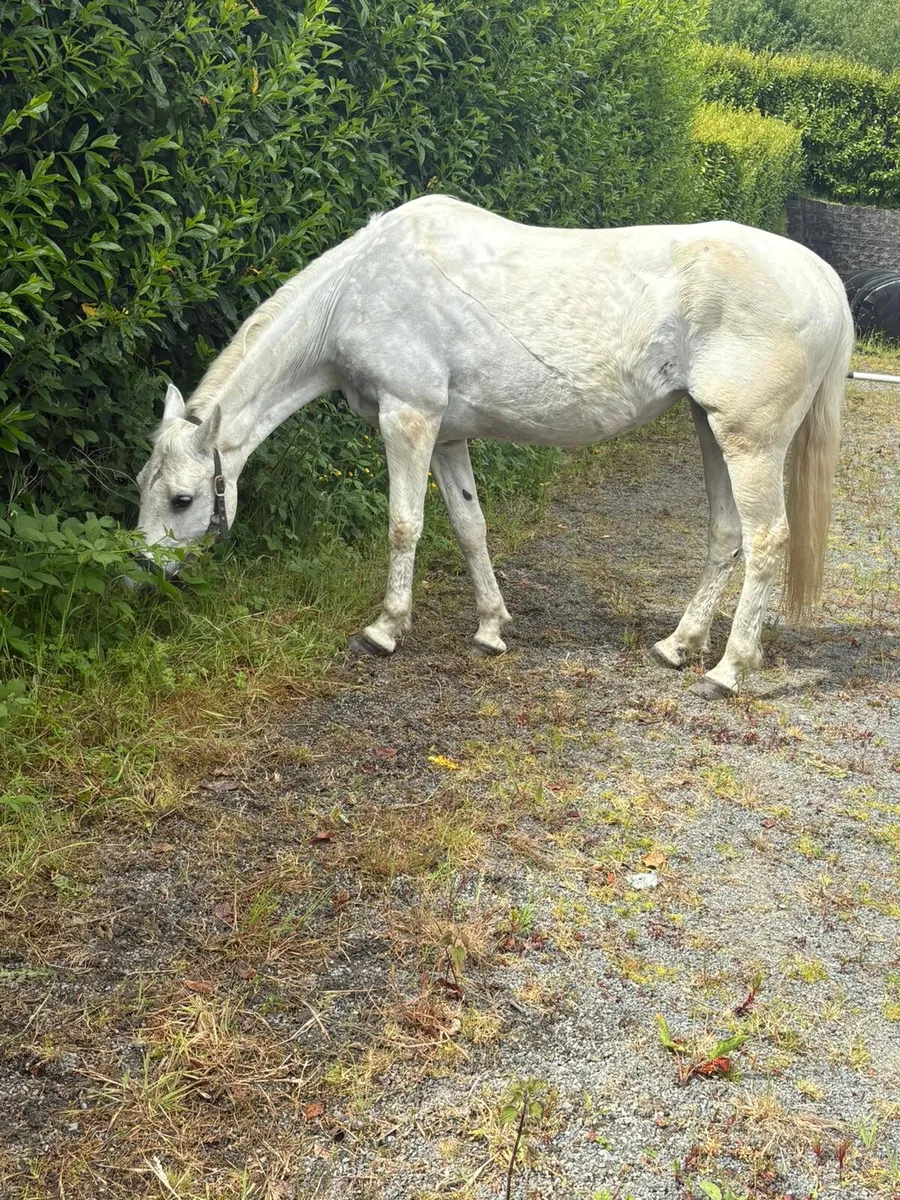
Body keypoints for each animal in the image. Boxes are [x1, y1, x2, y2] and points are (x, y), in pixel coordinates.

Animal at [135, 194, 854, 699]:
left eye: (183, 499)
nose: (142, 574)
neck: (358, 289)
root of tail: (823, 278)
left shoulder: (409, 418)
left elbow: (404, 524)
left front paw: (384, 630)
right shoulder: (448, 435)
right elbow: (469, 525)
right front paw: (490, 629)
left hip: (751, 441)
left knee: (767, 541)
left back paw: (727, 672)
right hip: (710, 429)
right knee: (725, 536)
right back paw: (678, 646)